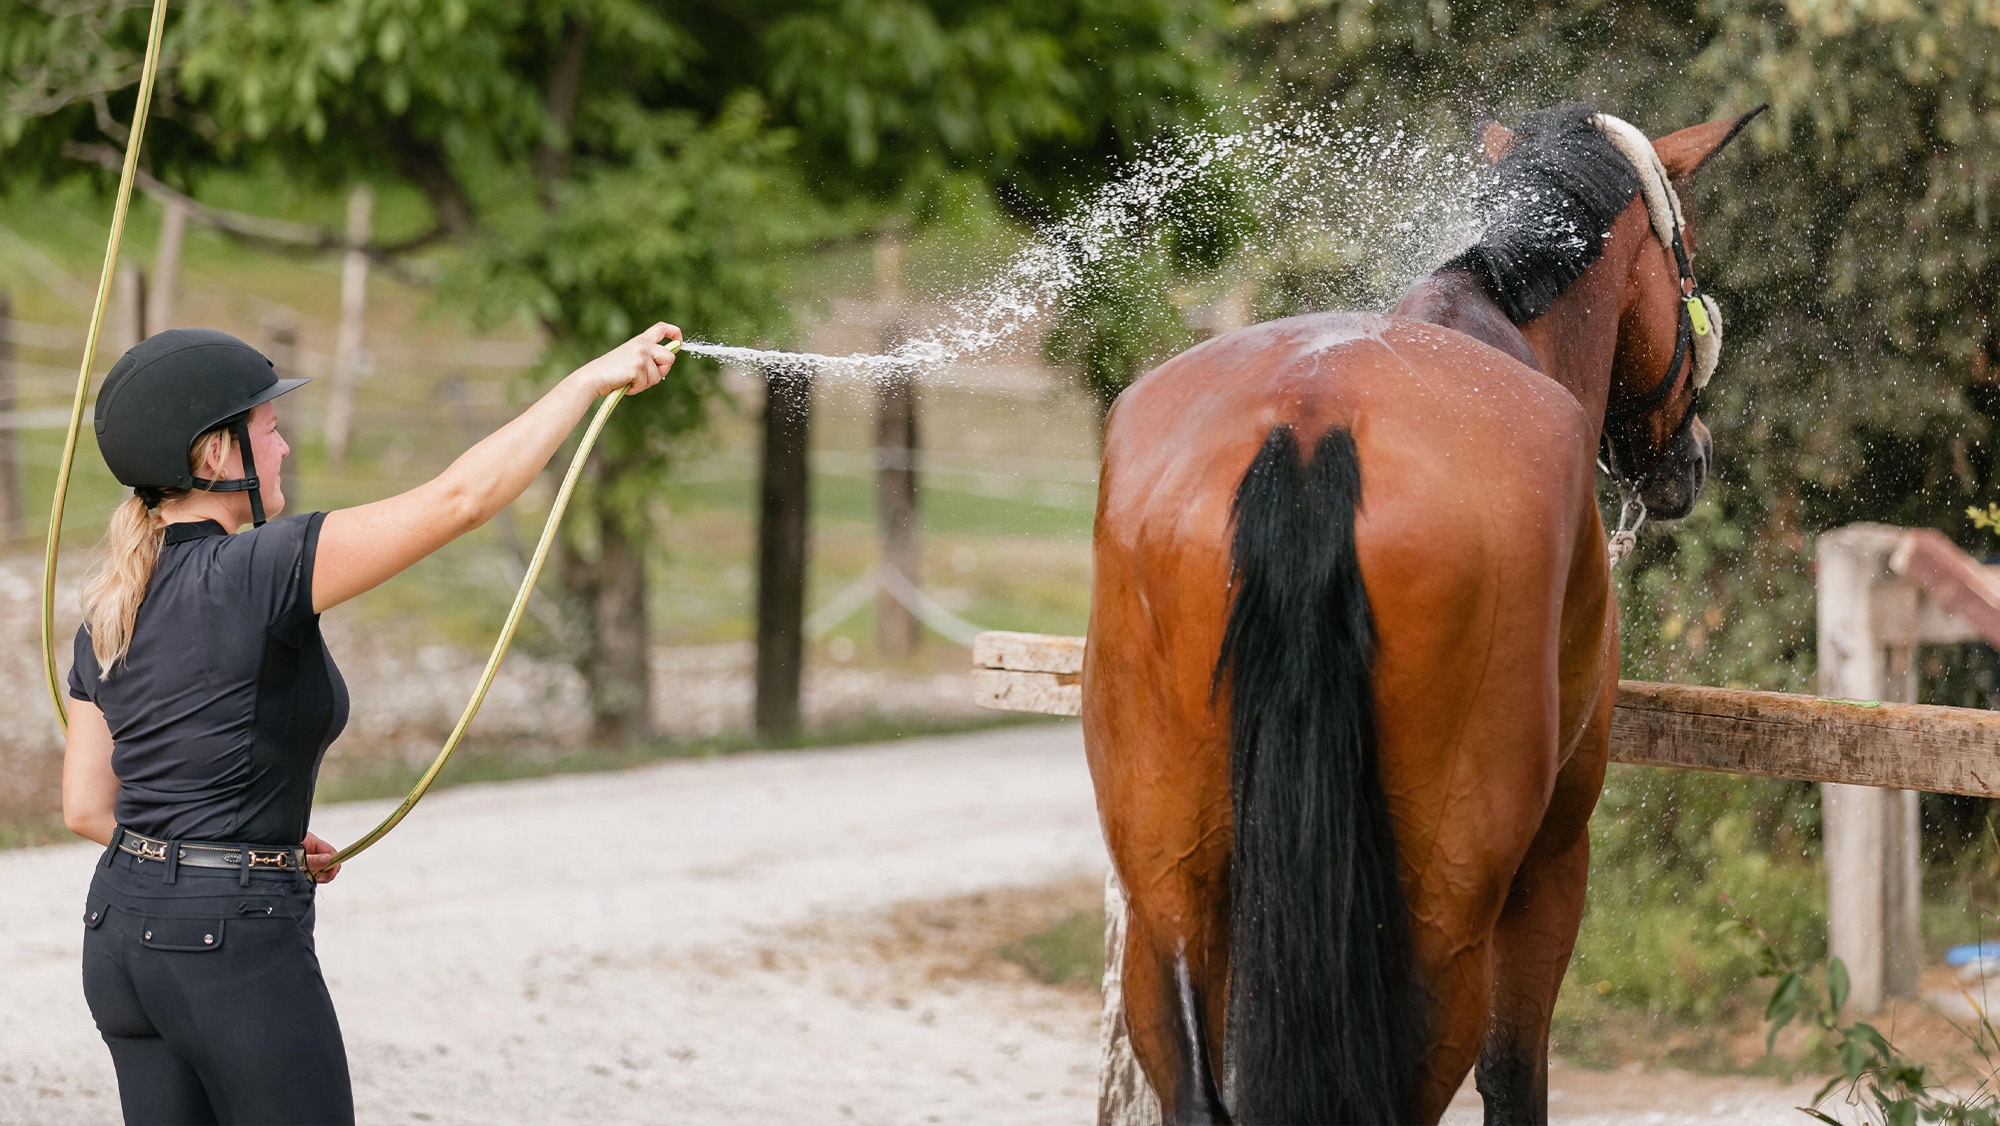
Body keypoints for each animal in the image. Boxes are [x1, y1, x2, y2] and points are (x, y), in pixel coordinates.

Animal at [1082, 103, 1762, 1125]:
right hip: (1445, 917)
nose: (1694, 458)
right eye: (1683, 264)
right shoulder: (1553, 862)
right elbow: (1516, 1074)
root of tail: (1311, 423)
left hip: (1167, 894)